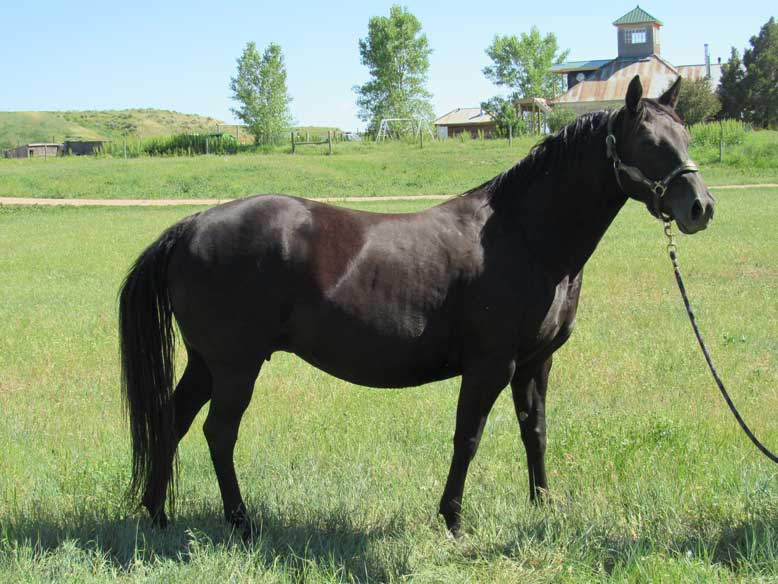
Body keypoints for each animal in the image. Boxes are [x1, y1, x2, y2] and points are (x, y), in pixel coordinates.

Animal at [116, 75, 716, 536]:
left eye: (684, 136)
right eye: (647, 141)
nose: (700, 206)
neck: (525, 235)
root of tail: (191, 225)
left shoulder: (535, 362)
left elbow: (535, 431)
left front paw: (544, 506)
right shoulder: (490, 365)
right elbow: (468, 437)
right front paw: (451, 519)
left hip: (206, 363)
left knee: (172, 422)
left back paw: (157, 514)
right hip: (236, 366)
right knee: (219, 434)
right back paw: (242, 523)